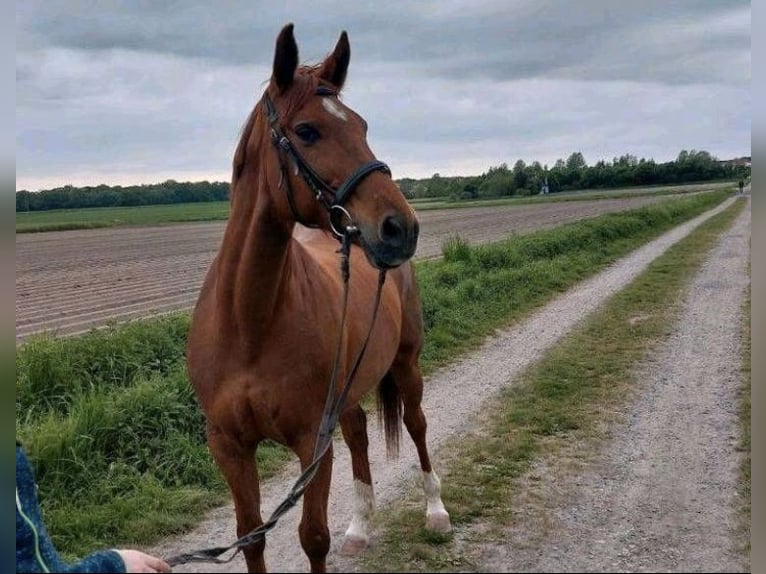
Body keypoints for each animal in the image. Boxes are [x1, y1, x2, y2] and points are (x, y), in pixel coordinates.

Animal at [188, 24, 452, 572]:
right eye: (307, 131)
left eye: (363, 126)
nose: (401, 227)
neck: (249, 323)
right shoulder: (229, 447)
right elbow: (251, 537)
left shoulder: (312, 442)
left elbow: (313, 536)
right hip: (347, 393)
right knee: (359, 435)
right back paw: (360, 526)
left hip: (406, 363)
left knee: (416, 424)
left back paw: (436, 512)